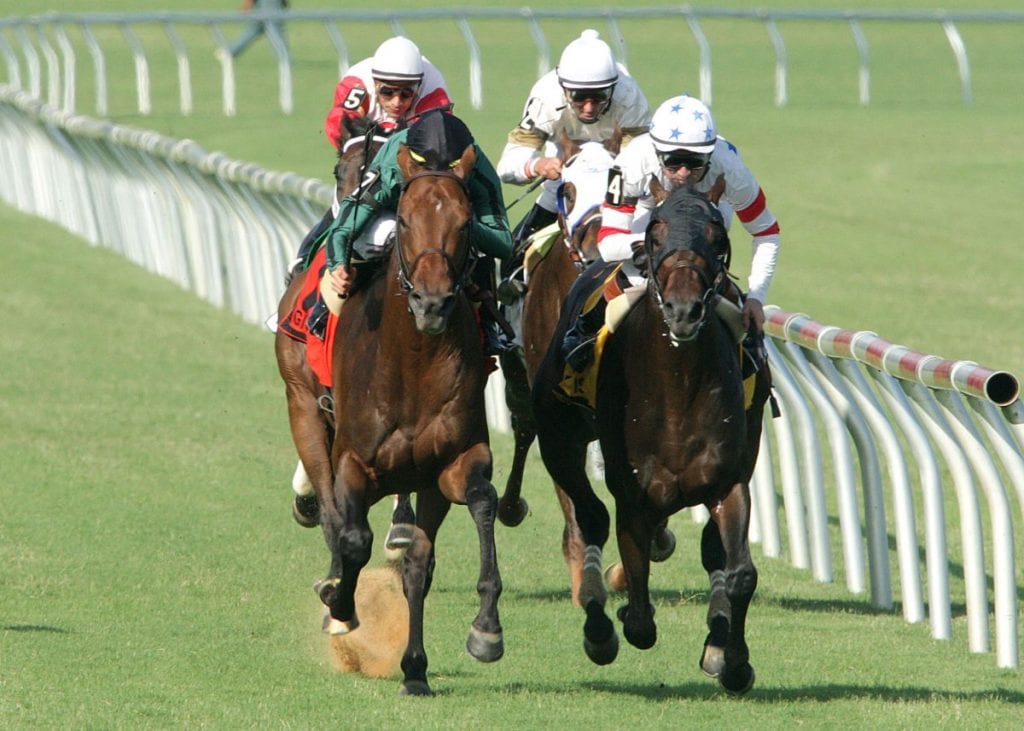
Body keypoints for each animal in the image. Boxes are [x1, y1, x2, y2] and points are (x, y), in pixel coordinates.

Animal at [315, 138, 499, 696]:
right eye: (405, 217)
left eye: (465, 221)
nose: (432, 302)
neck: (414, 362)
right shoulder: (353, 461)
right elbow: (354, 539)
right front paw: (340, 604)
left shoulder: (455, 462)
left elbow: (483, 502)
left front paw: (487, 629)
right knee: (339, 522)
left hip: (425, 484)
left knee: (419, 562)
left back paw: (415, 668)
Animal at [536, 185, 770, 692]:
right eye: (656, 232)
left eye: (716, 235)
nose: (683, 310)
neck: (678, 383)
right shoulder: (632, 492)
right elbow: (640, 608)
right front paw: (622, 615)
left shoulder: (729, 481)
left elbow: (738, 571)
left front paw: (732, 660)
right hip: (557, 438)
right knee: (589, 517)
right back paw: (598, 625)